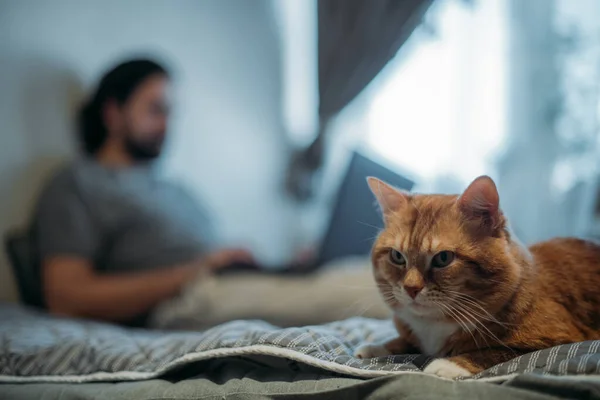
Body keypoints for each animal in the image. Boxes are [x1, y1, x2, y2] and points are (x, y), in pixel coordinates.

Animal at [354, 175, 600, 378]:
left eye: (443, 258)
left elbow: (496, 351)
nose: (411, 288)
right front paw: (376, 347)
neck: (435, 323)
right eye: (397, 256)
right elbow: (403, 341)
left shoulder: (559, 337)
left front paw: (450, 364)